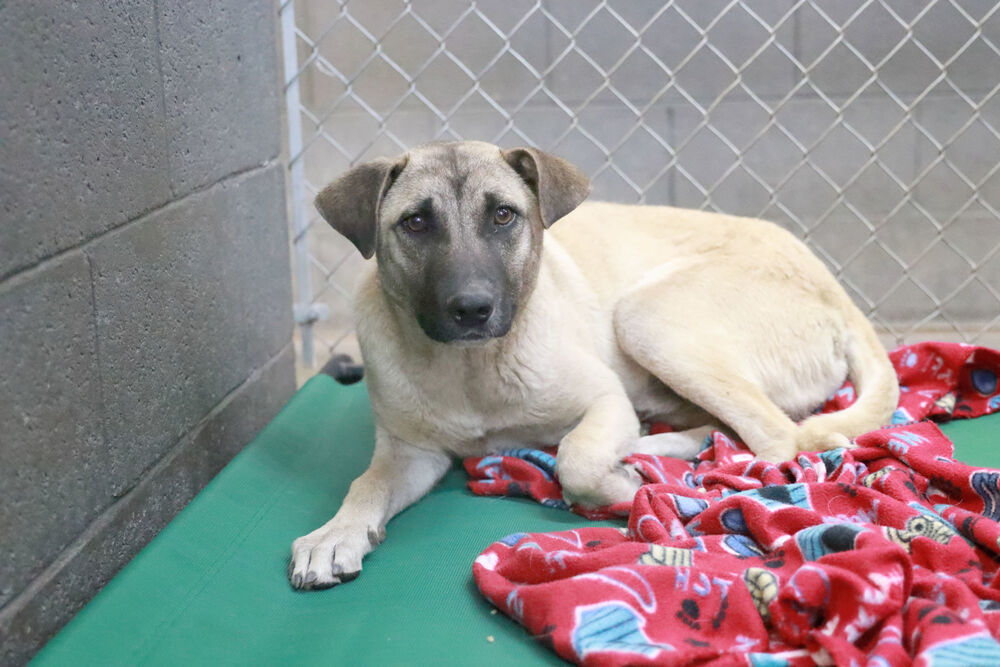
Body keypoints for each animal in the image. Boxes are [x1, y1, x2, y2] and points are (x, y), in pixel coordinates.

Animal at [288, 140, 900, 588]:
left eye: (504, 215)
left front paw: (621, 488)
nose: (471, 308)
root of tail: (836, 290)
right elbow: (365, 484)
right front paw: (334, 534)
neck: (472, 371)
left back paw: (667, 467)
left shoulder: (604, 401)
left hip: (647, 316)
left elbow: (576, 461)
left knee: (776, 441)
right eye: (415, 223)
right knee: (734, 431)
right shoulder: (410, 453)